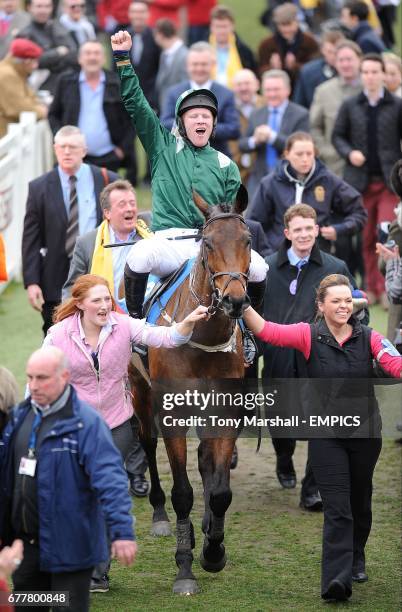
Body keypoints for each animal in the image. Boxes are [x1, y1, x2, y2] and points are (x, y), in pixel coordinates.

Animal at [130, 189, 251, 596]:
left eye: (248, 241)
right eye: (208, 243)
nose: (234, 300)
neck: (203, 339)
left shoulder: (226, 411)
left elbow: (220, 491)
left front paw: (213, 550)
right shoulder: (172, 414)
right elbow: (183, 492)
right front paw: (184, 568)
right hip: (139, 392)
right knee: (147, 443)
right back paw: (159, 514)